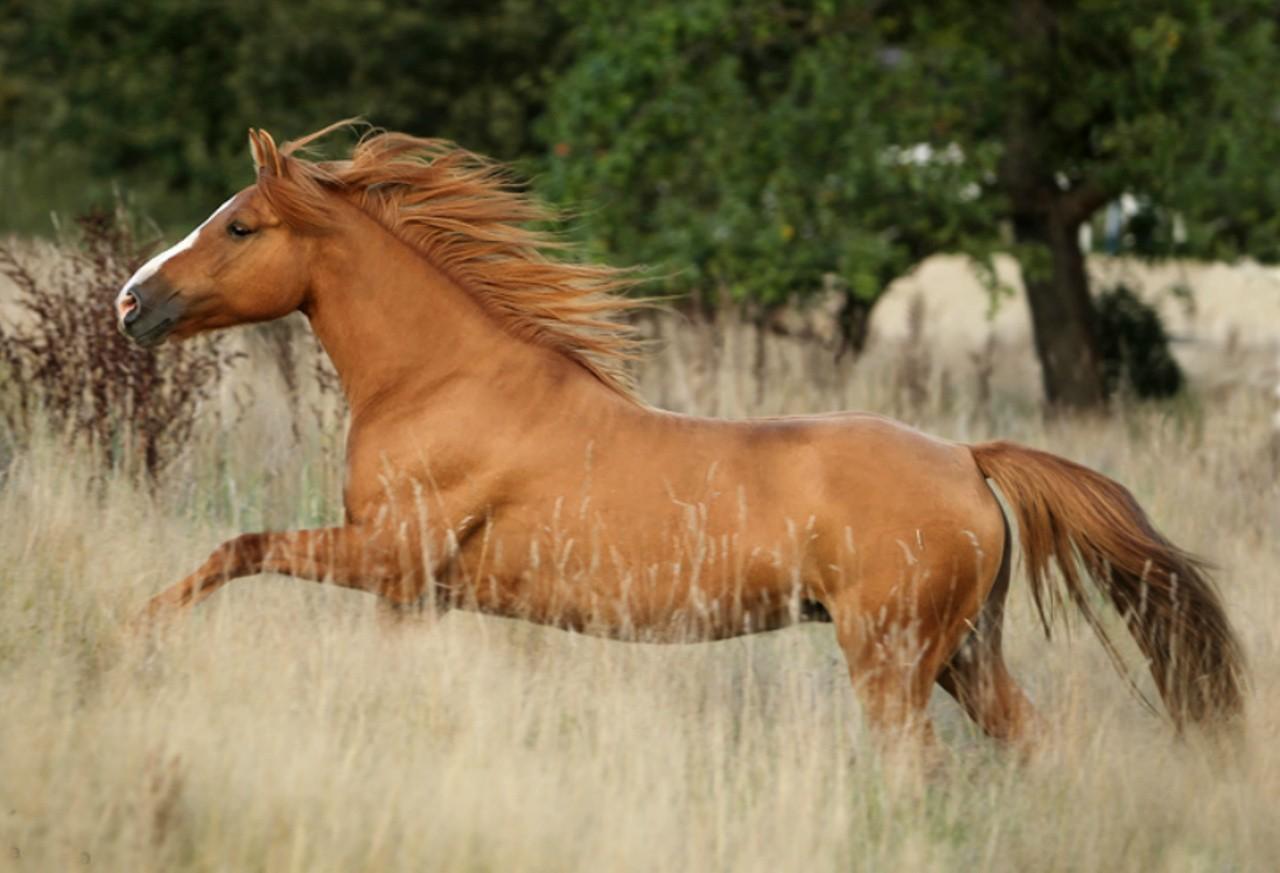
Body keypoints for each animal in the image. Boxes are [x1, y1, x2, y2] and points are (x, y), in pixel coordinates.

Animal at [116, 122, 1246, 756]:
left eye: (241, 226)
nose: (131, 301)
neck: (444, 384)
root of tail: (970, 462)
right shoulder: (417, 593)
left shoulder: (387, 556)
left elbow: (239, 546)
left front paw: (140, 629)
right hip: (963, 653)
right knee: (1031, 744)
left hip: (889, 658)